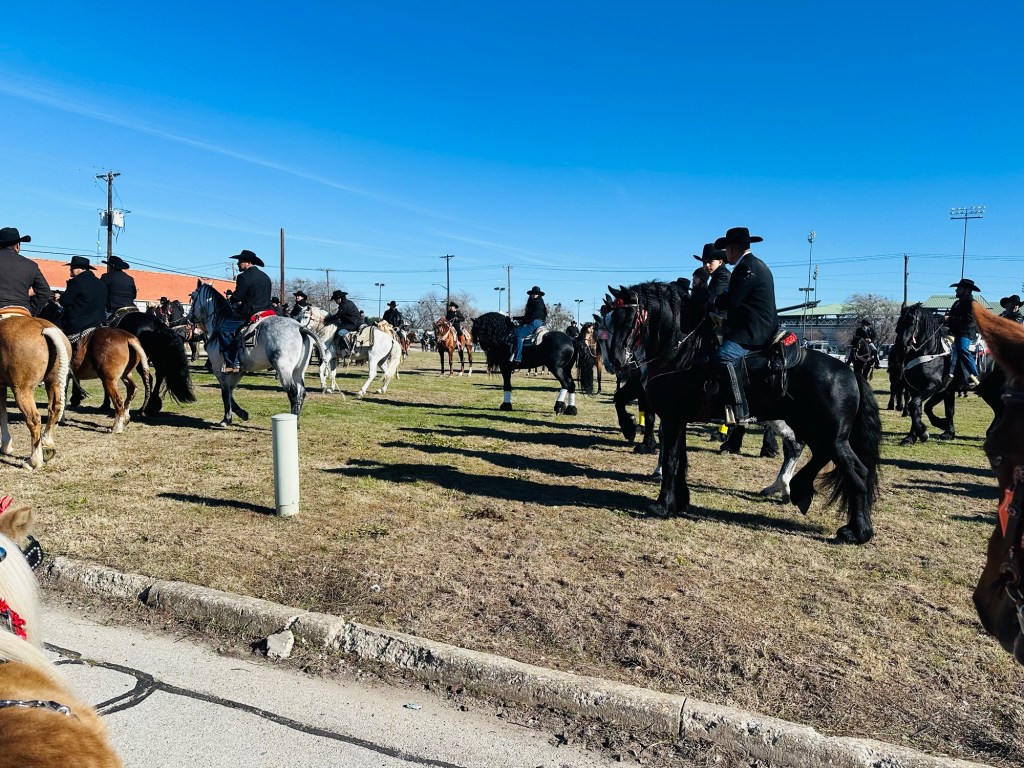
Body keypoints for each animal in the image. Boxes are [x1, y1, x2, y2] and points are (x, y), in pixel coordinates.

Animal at [0, 316, 70, 469]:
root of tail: (42, 326)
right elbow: (3, 415)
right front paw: (6, 446)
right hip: (53, 383)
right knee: (54, 409)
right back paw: (47, 443)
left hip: (22, 390)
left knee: (34, 419)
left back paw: (34, 461)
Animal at [187, 282, 326, 427]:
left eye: (193, 297)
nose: (189, 318)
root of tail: (300, 328)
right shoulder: (238, 371)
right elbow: (230, 391)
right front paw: (242, 413)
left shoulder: (219, 370)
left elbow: (225, 393)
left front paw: (226, 419)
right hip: (299, 370)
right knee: (301, 392)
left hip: (284, 369)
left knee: (293, 392)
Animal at [603, 281, 880, 544]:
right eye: (611, 320)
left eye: (629, 318)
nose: (615, 361)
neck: (681, 352)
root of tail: (850, 373)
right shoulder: (678, 420)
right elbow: (679, 458)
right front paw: (679, 501)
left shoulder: (671, 418)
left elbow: (671, 460)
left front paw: (662, 505)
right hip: (813, 429)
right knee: (814, 453)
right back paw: (796, 489)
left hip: (829, 435)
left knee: (855, 471)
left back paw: (857, 531)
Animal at [892, 303, 958, 444]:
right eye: (899, 322)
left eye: (911, 322)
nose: (901, 348)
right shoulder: (915, 389)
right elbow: (915, 408)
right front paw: (912, 436)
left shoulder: (934, 386)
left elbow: (916, 404)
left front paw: (923, 431)